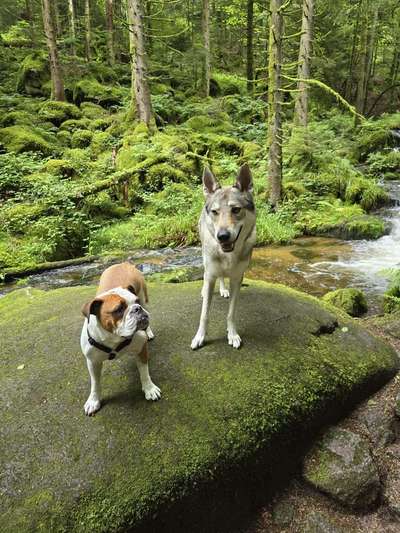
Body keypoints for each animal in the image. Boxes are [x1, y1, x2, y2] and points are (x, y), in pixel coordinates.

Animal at [191, 164, 256, 352]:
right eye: (215, 212)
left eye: (236, 210)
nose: (223, 236)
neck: (228, 255)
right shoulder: (211, 273)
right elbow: (204, 315)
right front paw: (200, 337)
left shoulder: (237, 279)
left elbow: (231, 313)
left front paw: (232, 335)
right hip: (205, 260)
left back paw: (223, 289)